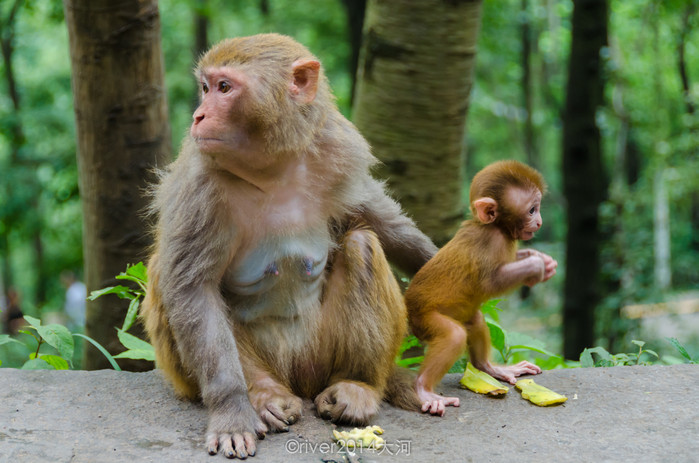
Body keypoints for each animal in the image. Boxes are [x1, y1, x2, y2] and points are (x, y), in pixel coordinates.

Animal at [141, 35, 438, 460]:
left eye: (224, 88)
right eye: (206, 87)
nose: (198, 116)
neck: (271, 169)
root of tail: (301, 381)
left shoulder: (336, 148)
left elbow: (380, 220)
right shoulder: (198, 185)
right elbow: (192, 289)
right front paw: (232, 410)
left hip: (321, 355)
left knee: (362, 240)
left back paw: (358, 384)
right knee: (167, 278)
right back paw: (264, 396)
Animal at [404, 160, 556, 416]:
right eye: (532, 210)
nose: (540, 222)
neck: (497, 227)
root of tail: (406, 310)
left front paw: (541, 259)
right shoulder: (490, 241)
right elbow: (491, 283)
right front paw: (536, 266)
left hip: (458, 313)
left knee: (474, 320)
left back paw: (490, 368)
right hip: (423, 319)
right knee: (454, 335)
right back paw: (422, 389)